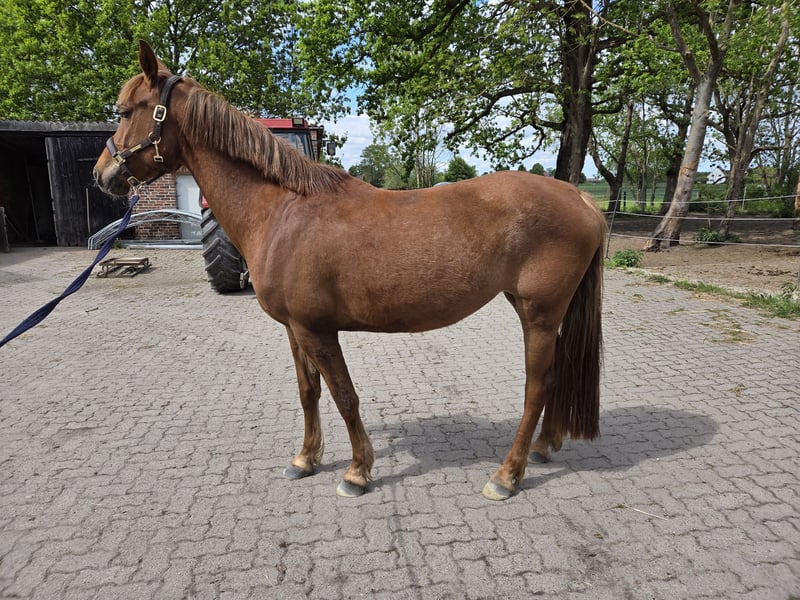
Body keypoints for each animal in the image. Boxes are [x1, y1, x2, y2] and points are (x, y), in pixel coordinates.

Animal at [94, 41, 607, 501]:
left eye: (125, 111)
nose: (101, 175)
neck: (281, 212)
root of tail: (579, 198)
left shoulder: (318, 329)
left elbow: (344, 395)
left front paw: (358, 471)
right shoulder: (294, 329)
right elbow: (309, 392)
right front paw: (306, 459)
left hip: (538, 313)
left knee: (537, 386)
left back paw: (507, 475)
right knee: (556, 377)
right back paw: (543, 447)